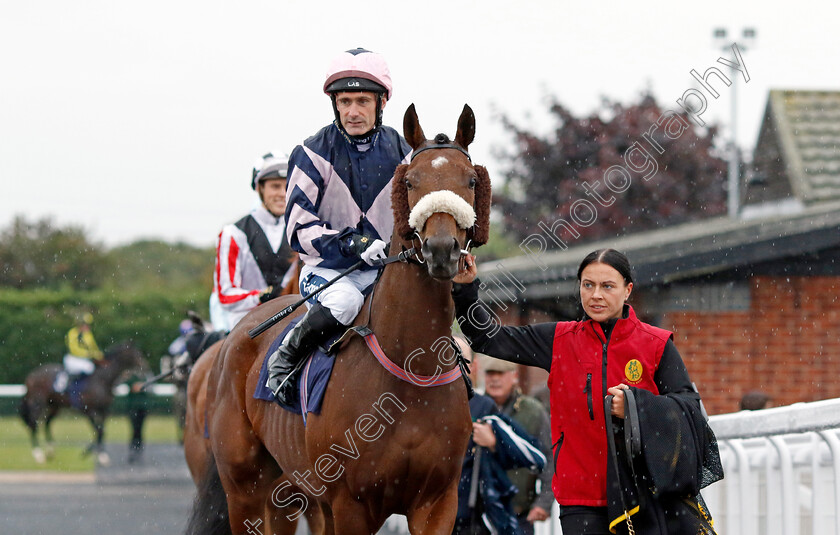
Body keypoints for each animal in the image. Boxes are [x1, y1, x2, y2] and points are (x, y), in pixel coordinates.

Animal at [18, 344, 148, 464]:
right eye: (137, 355)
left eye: (140, 354)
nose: (145, 368)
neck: (102, 379)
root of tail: (30, 376)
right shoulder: (89, 410)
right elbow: (98, 429)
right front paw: (95, 454)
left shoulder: (105, 410)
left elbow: (101, 430)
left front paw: (99, 454)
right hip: (37, 403)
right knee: (33, 424)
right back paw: (38, 454)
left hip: (54, 405)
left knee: (47, 423)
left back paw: (50, 452)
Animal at [187, 102, 492, 532]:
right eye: (411, 181)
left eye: (470, 180)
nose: (441, 249)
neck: (411, 367)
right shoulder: (352, 503)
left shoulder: (437, 503)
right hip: (244, 486)